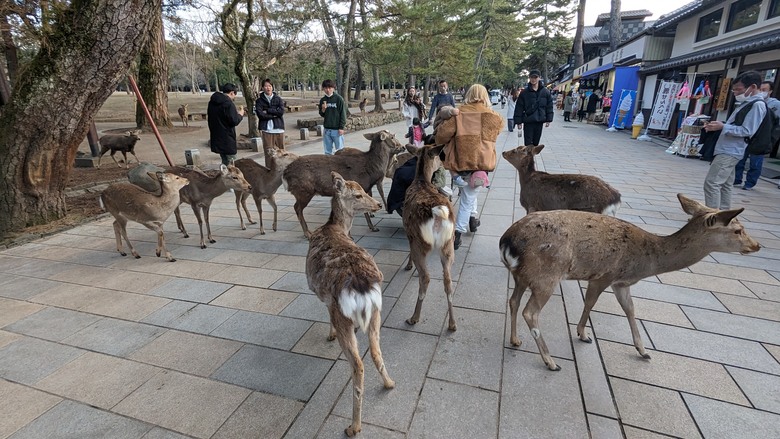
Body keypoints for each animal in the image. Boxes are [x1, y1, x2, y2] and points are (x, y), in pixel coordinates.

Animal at [306, 171, 395, 437]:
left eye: (365, 191)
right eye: (357, 194)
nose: (378, 205)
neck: (336, 228)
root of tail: (361, 286)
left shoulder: (324, 297)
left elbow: (326, 316)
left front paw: (329, 335)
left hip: (342, 314)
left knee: (358, 365)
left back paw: (353, 427)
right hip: (377, 311)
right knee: (375, 351)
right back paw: (390, 383)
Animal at [402, 143, 457, 331]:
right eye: (440, 156)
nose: (444, 164)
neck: (420, 179)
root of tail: (438, 213)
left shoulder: (408, 231)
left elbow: (408, 249)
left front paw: (408, 266)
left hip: (421, 244)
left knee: (426, 277)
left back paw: (413, 317)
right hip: (448, 244)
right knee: (448, 280)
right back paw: (452, 324)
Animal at [499, 194, 761, 371]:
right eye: (738, 229)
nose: (756, 245)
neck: (646, 261)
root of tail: (508, 241)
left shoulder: (621, 283)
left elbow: (630, 309)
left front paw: (644, 351)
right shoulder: (605, 274)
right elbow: (590, 302)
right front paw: (584, 334)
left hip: (522, 275)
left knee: (513, 301)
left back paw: (515, 340)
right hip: (547, 275)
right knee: (530, 312)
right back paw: (551, 361)